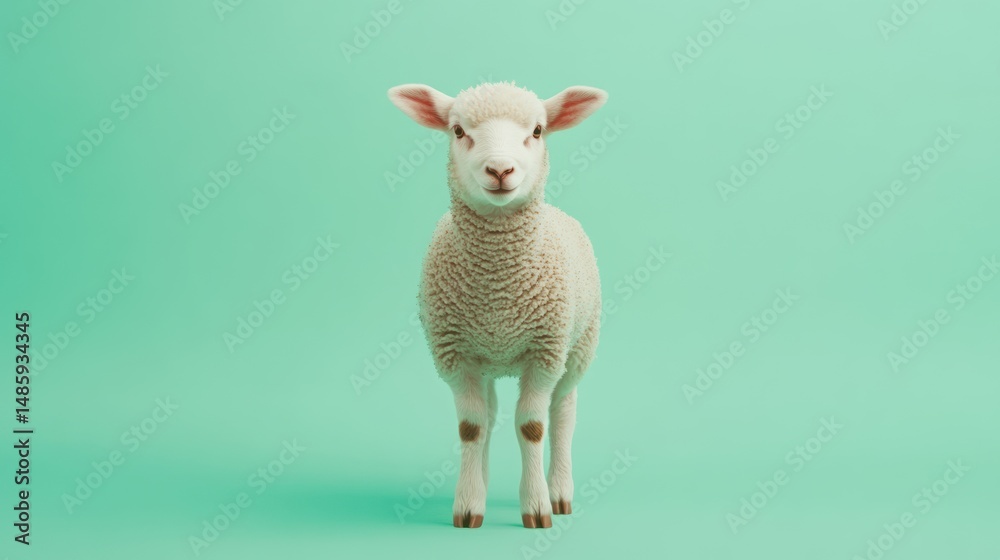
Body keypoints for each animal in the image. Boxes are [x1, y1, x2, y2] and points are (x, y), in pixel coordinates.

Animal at [388, 81, 607, 529]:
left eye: (538, 131)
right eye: (457, 131)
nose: (501, 170)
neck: (499, 292)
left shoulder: (544, 353)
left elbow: (532, 427)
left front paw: (537, 508)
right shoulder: (456, 354)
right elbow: (471, 428)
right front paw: (469, 504)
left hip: (578, 346)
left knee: (563, 413)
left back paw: (560, 491)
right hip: (487, 359)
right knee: (488, 416)